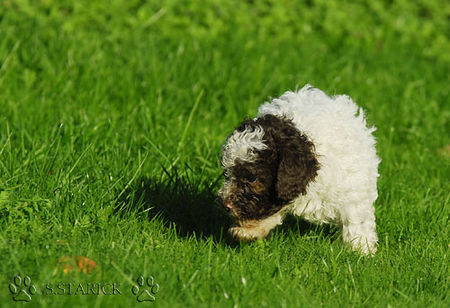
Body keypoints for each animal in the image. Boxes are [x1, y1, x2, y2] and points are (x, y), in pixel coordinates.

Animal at [218, 85, 380, 255]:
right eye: (227, 174)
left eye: (252, 179)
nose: (225, 205)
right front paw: (249, 229)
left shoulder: (352, 187)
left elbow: (357, 220)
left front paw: (361, 251)